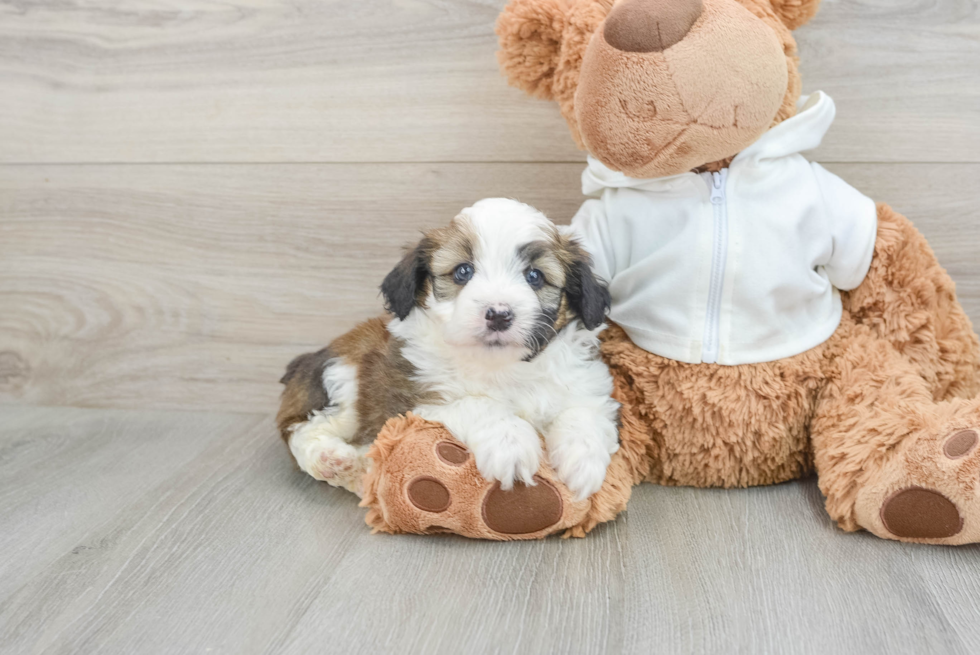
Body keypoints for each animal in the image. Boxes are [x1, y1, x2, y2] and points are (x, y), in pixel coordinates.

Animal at [276, 200, 620, 502]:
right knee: (302, 429)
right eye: (463, 272)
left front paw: (584, 460)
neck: (501, 366)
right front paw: (510, 442)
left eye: (534, 276)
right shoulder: (414, 403)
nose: (498, 314)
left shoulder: (587, 385)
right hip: (344, 378)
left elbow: (583, 411)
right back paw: (336, 460)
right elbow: (479, 405)